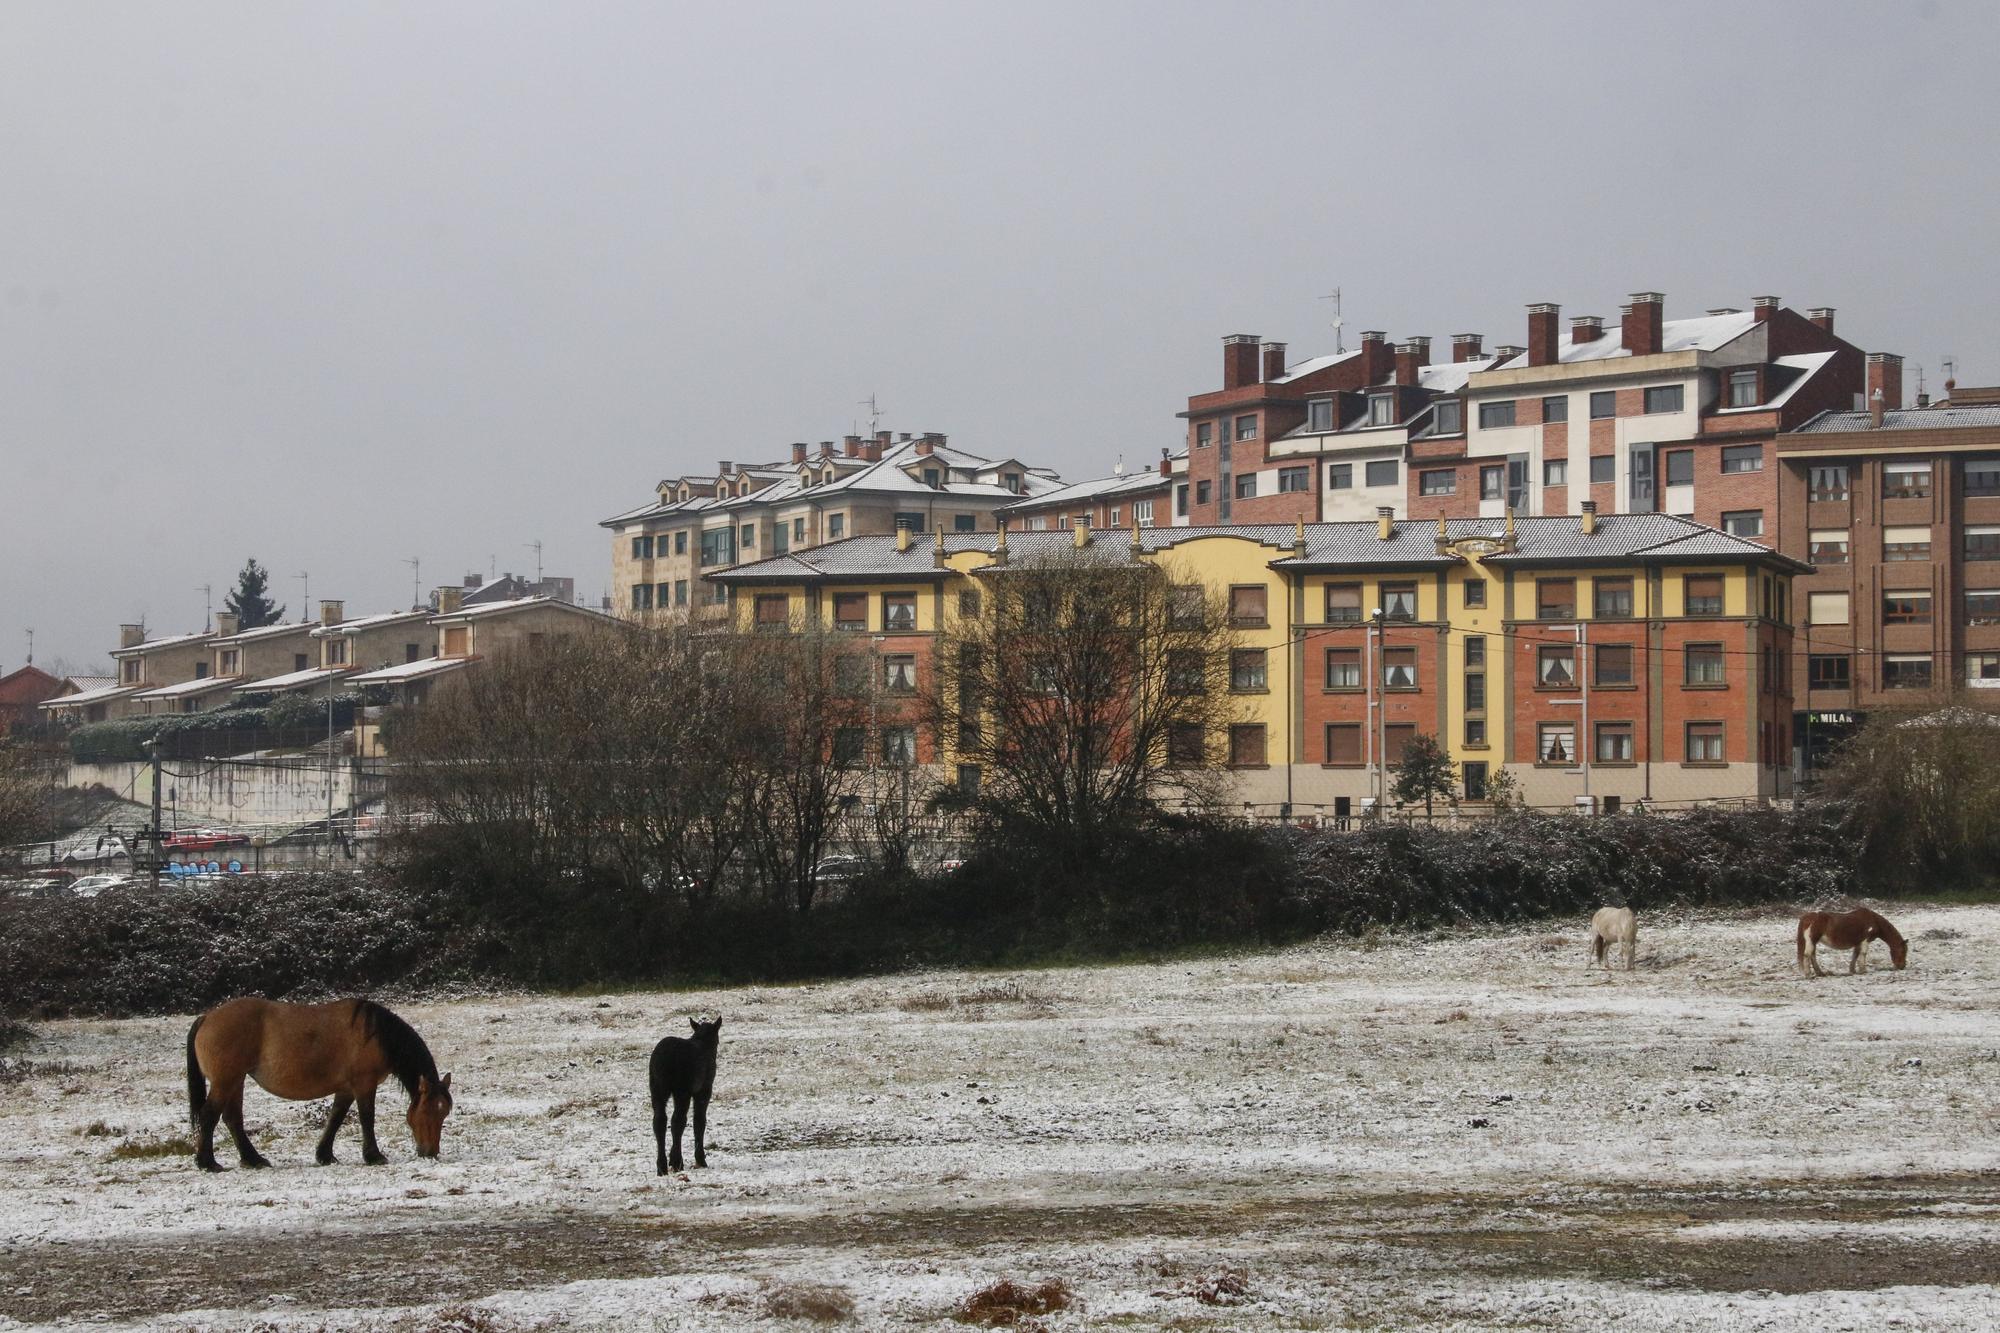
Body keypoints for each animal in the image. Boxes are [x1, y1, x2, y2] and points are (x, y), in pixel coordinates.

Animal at [185, 992, 454, 1168]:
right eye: (428, 1111)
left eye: (444, 1113)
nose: (431, 1153)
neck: (375, 1034)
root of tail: (207, 1017)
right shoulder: (363, 1084)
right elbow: (367, 1118)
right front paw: (374, 1156)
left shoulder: (346, 1088)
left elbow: (335, 1118)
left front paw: (325, 1155)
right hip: (225, 1081)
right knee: (209, 1115)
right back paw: (208, 1162)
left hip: (235, 1081)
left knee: (232, 1119)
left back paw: (253, 1159)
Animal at [648, 1012, 720, 1168]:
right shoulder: (704, 1090)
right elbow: (699, 1121)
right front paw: (700, 1159)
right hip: (682, 1090)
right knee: (678, 1120)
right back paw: (676, 1161)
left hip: (657, 1088)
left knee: (659, 1120)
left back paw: (662, 1165)